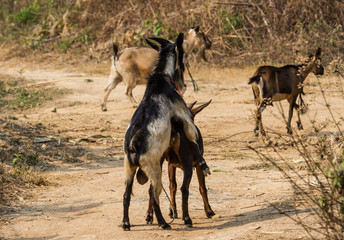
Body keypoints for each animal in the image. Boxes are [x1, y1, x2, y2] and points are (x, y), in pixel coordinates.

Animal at [123, 33, 210, 231]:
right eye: (183, 60)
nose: (184, 85)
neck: (162, 79)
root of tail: (133, 146)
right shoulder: (185, 116)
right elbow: (193, 137)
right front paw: (203, 164)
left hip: (129, 169)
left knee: (126, 194)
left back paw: (126, 223)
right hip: (154, 171)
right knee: (154, 194)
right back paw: (164, 222)